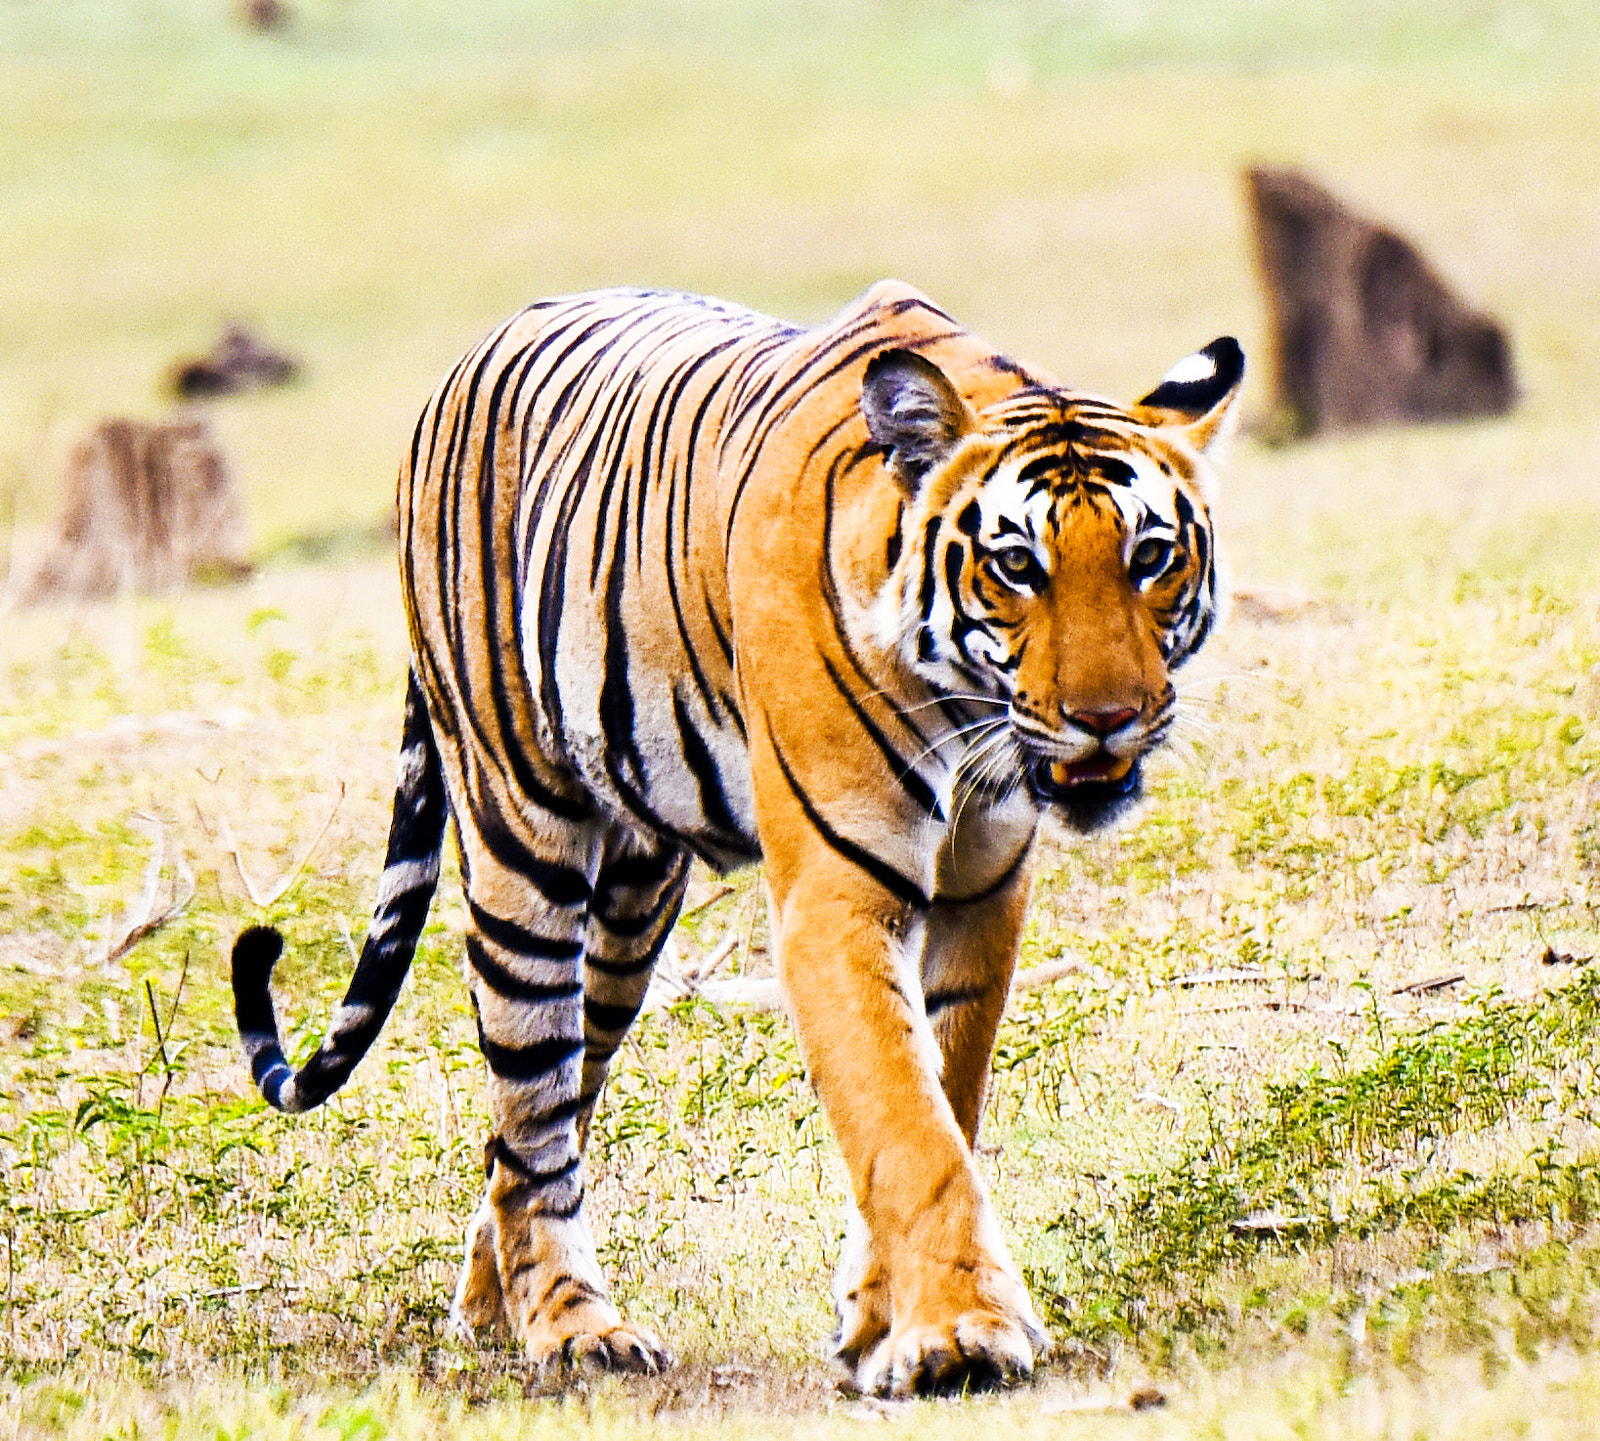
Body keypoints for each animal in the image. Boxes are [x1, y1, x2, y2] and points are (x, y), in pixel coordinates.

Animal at [231, 280, 1243, 1397]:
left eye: (1150, 557)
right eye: (1017, 565)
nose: (1110, 718)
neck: (964, 707)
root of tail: (475, 352)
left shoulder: (985, 891)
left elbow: (942, 1094)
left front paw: (878, 1317)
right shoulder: (837, 895)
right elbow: (905, 1123)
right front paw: (959, 1334)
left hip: (630, 914)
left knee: (540, 1113)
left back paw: (493, 1309)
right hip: (522, 840)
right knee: (532, 1108)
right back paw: (570, 1326)